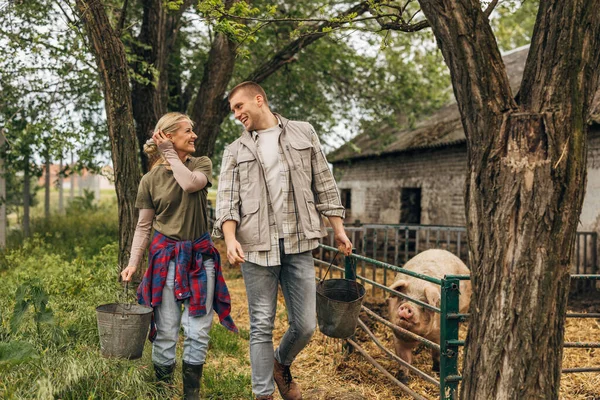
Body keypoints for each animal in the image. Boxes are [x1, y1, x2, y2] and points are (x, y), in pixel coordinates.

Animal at [386, 248, 472, 380]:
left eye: (423, 304)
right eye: (403, 298)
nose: (407, 307)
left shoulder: (439, 335)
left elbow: (437, 354)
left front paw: (437, 370)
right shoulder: (397, 333)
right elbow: (404, 358)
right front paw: (402, 378)